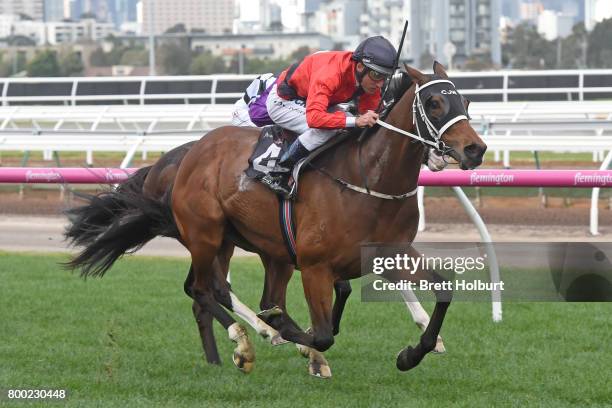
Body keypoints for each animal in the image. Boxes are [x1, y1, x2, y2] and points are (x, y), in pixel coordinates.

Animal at [170, 63, 486, 372]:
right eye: (434, 103)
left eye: (465, 101)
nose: (476, 149)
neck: (370, 181)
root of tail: (196, 147)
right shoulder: (315, 267)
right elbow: (323, 336)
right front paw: (290, 335)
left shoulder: (391, 254)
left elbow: (444, 289)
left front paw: (411, 355)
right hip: (205, 237)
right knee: (201, 290)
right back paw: (246, 343)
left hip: (265, 250)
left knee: (259, 297)